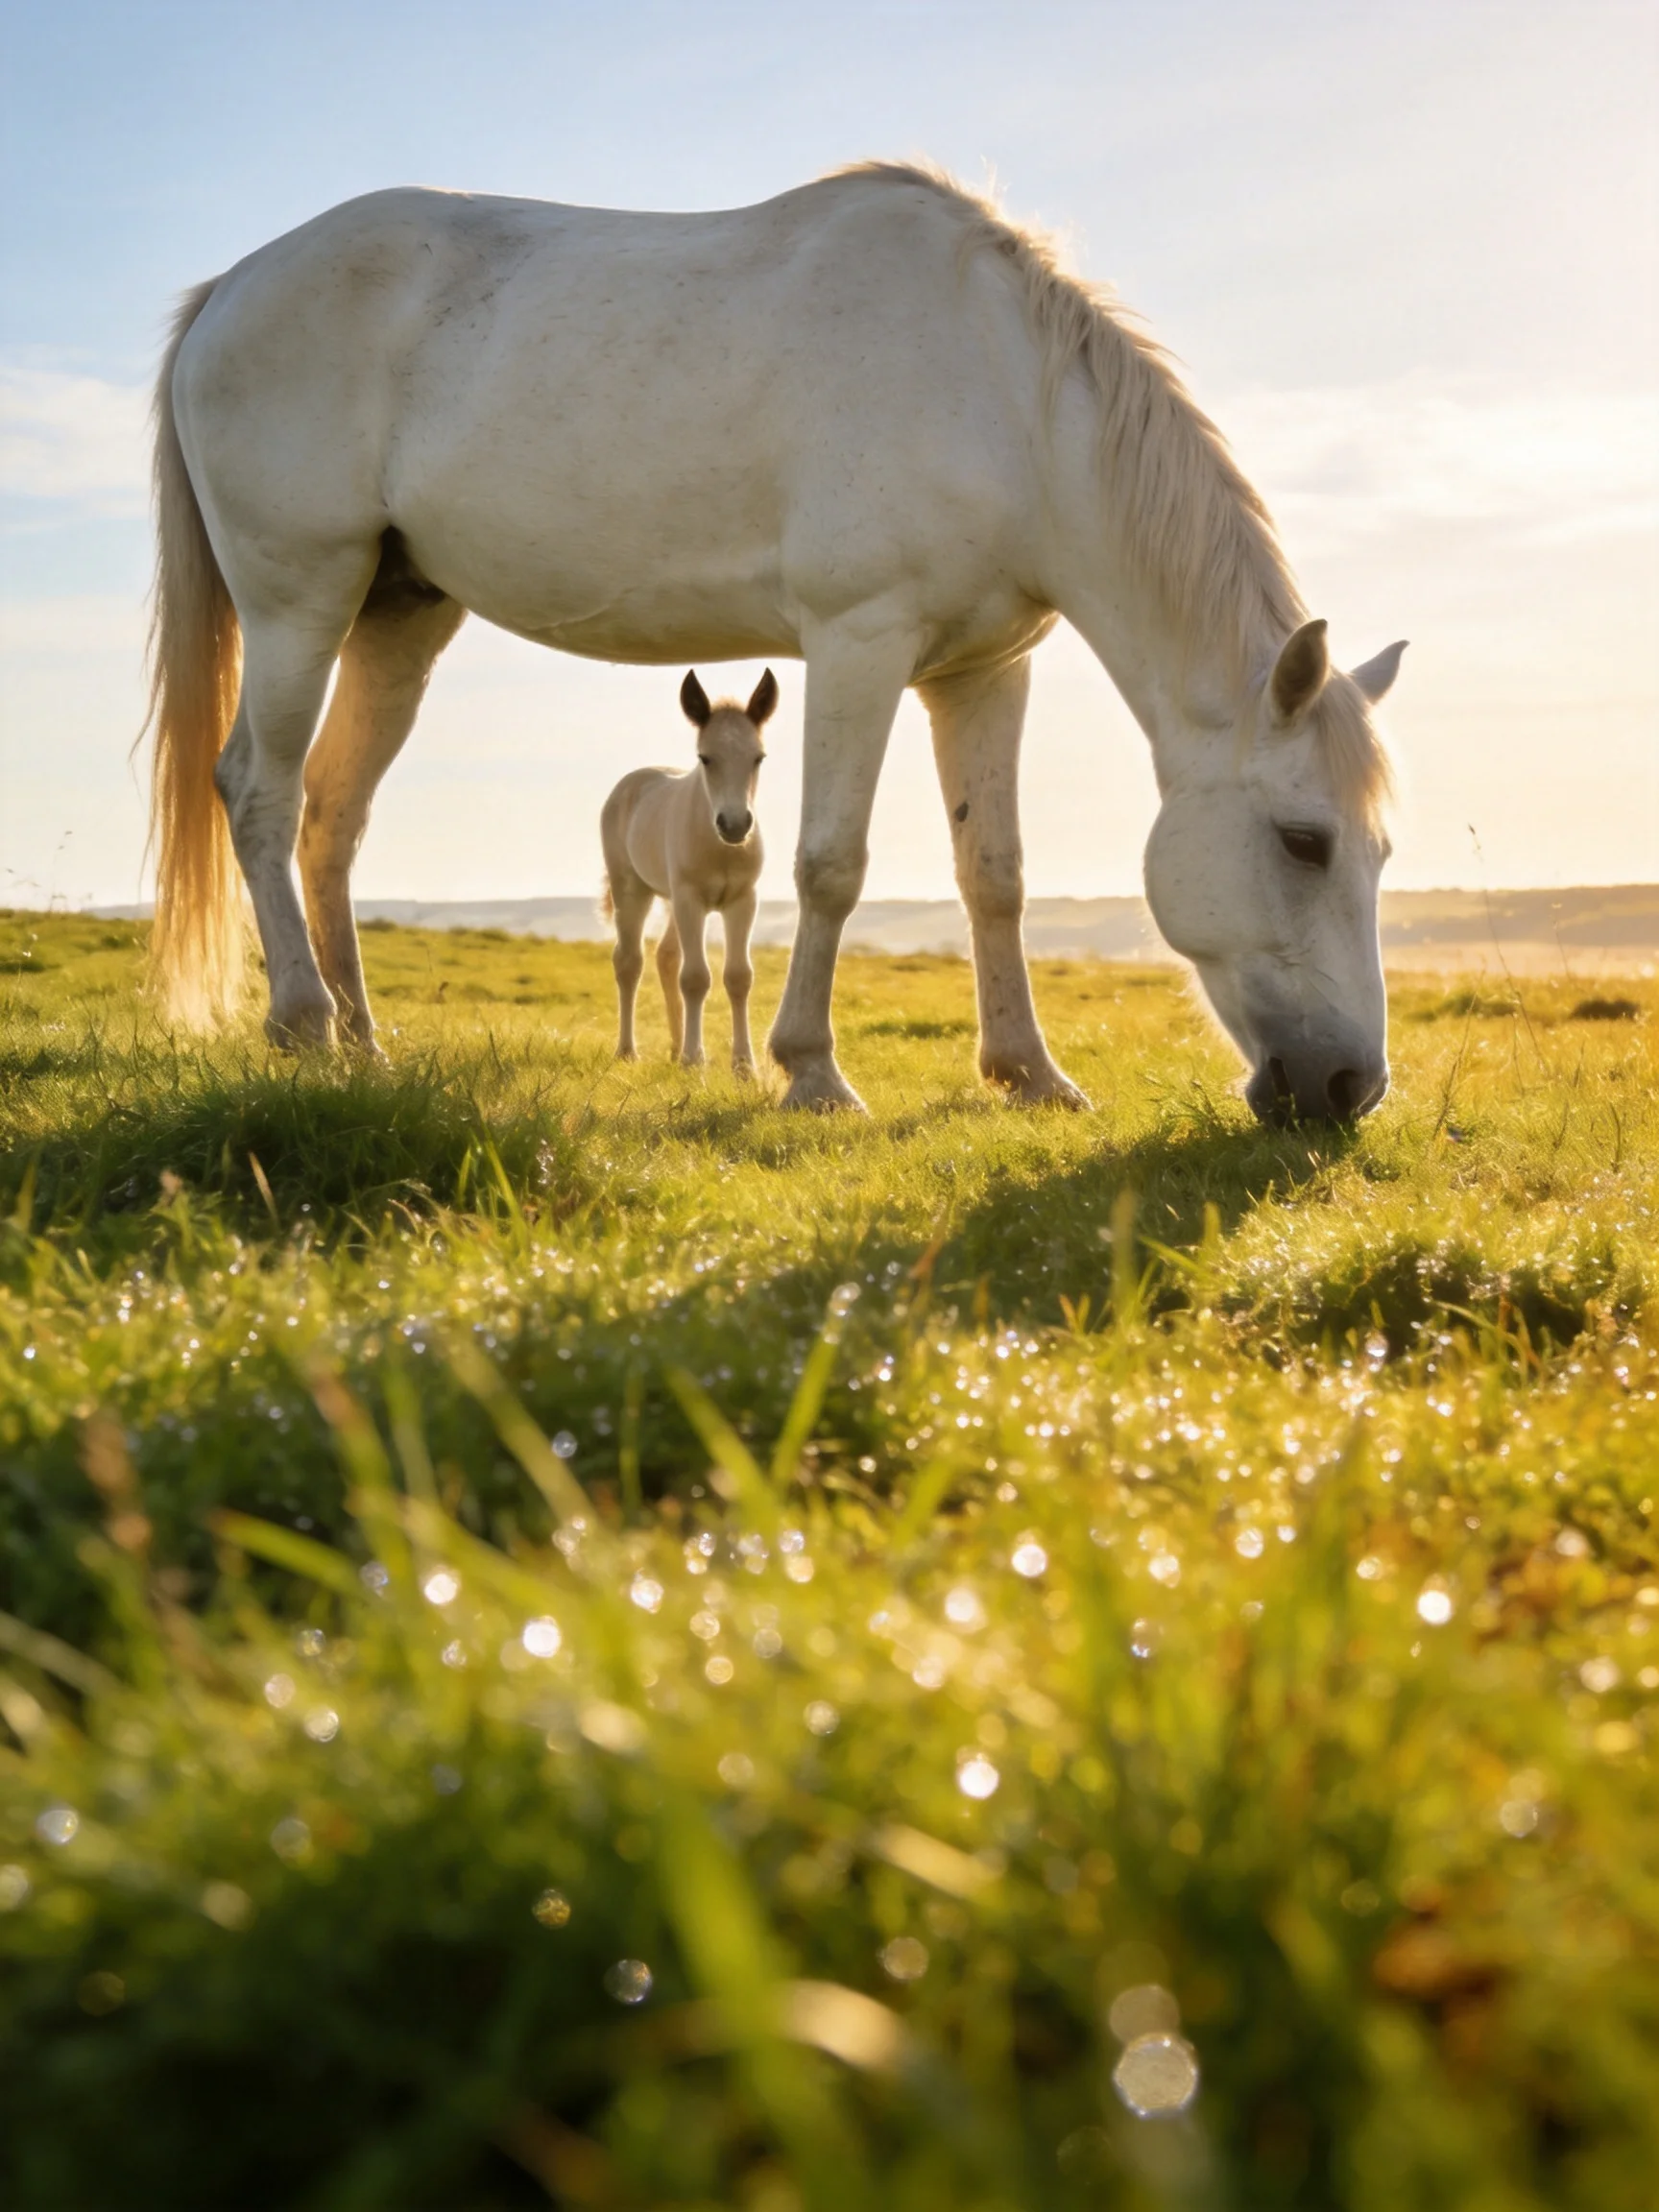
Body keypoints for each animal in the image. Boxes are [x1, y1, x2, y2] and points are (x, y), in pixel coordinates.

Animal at [602, 668, 773, 1072]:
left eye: (758, 757)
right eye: (705, 758)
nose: (735, 825)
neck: (719, 848)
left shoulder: (742, 901)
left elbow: (739, 976)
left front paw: (744, 1065)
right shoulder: (691, 899)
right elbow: (695, 977)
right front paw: (695, 1061)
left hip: (673, 901)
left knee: (666, 956)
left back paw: (675, 1046)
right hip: (634, 890)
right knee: (629, 961)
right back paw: (628, 1051)